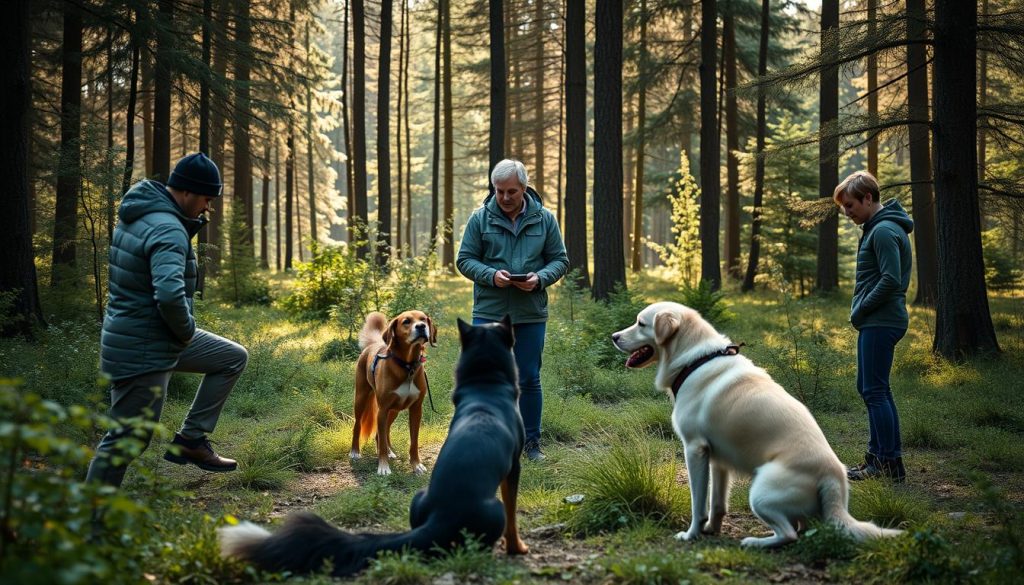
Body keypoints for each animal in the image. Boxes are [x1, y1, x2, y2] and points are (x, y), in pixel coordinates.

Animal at [352, 311, 436, 475]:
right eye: (406, 321)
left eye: (423, 319)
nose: (421, 326)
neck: (407, 365)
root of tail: (372, 345)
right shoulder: (383, 409)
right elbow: (382, 443)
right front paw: (383, 467)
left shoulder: (416, 409)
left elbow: (414, 442)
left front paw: (416, 465)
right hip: (361, 399)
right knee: (358, 425)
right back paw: (355, 452)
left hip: (394, 410)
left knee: (383, 433)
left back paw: (390, 451)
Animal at [610, 301, 901, 549]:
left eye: (641, 323)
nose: (613, 336)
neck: (694, 360)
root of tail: (833, 476)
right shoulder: (717, 460)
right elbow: (716, 504)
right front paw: (711, 530)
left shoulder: (694, 449)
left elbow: (698, 504)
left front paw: (691, 534)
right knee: (803, 529)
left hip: (760, 493)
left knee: (789, 534)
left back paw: (754, 542)